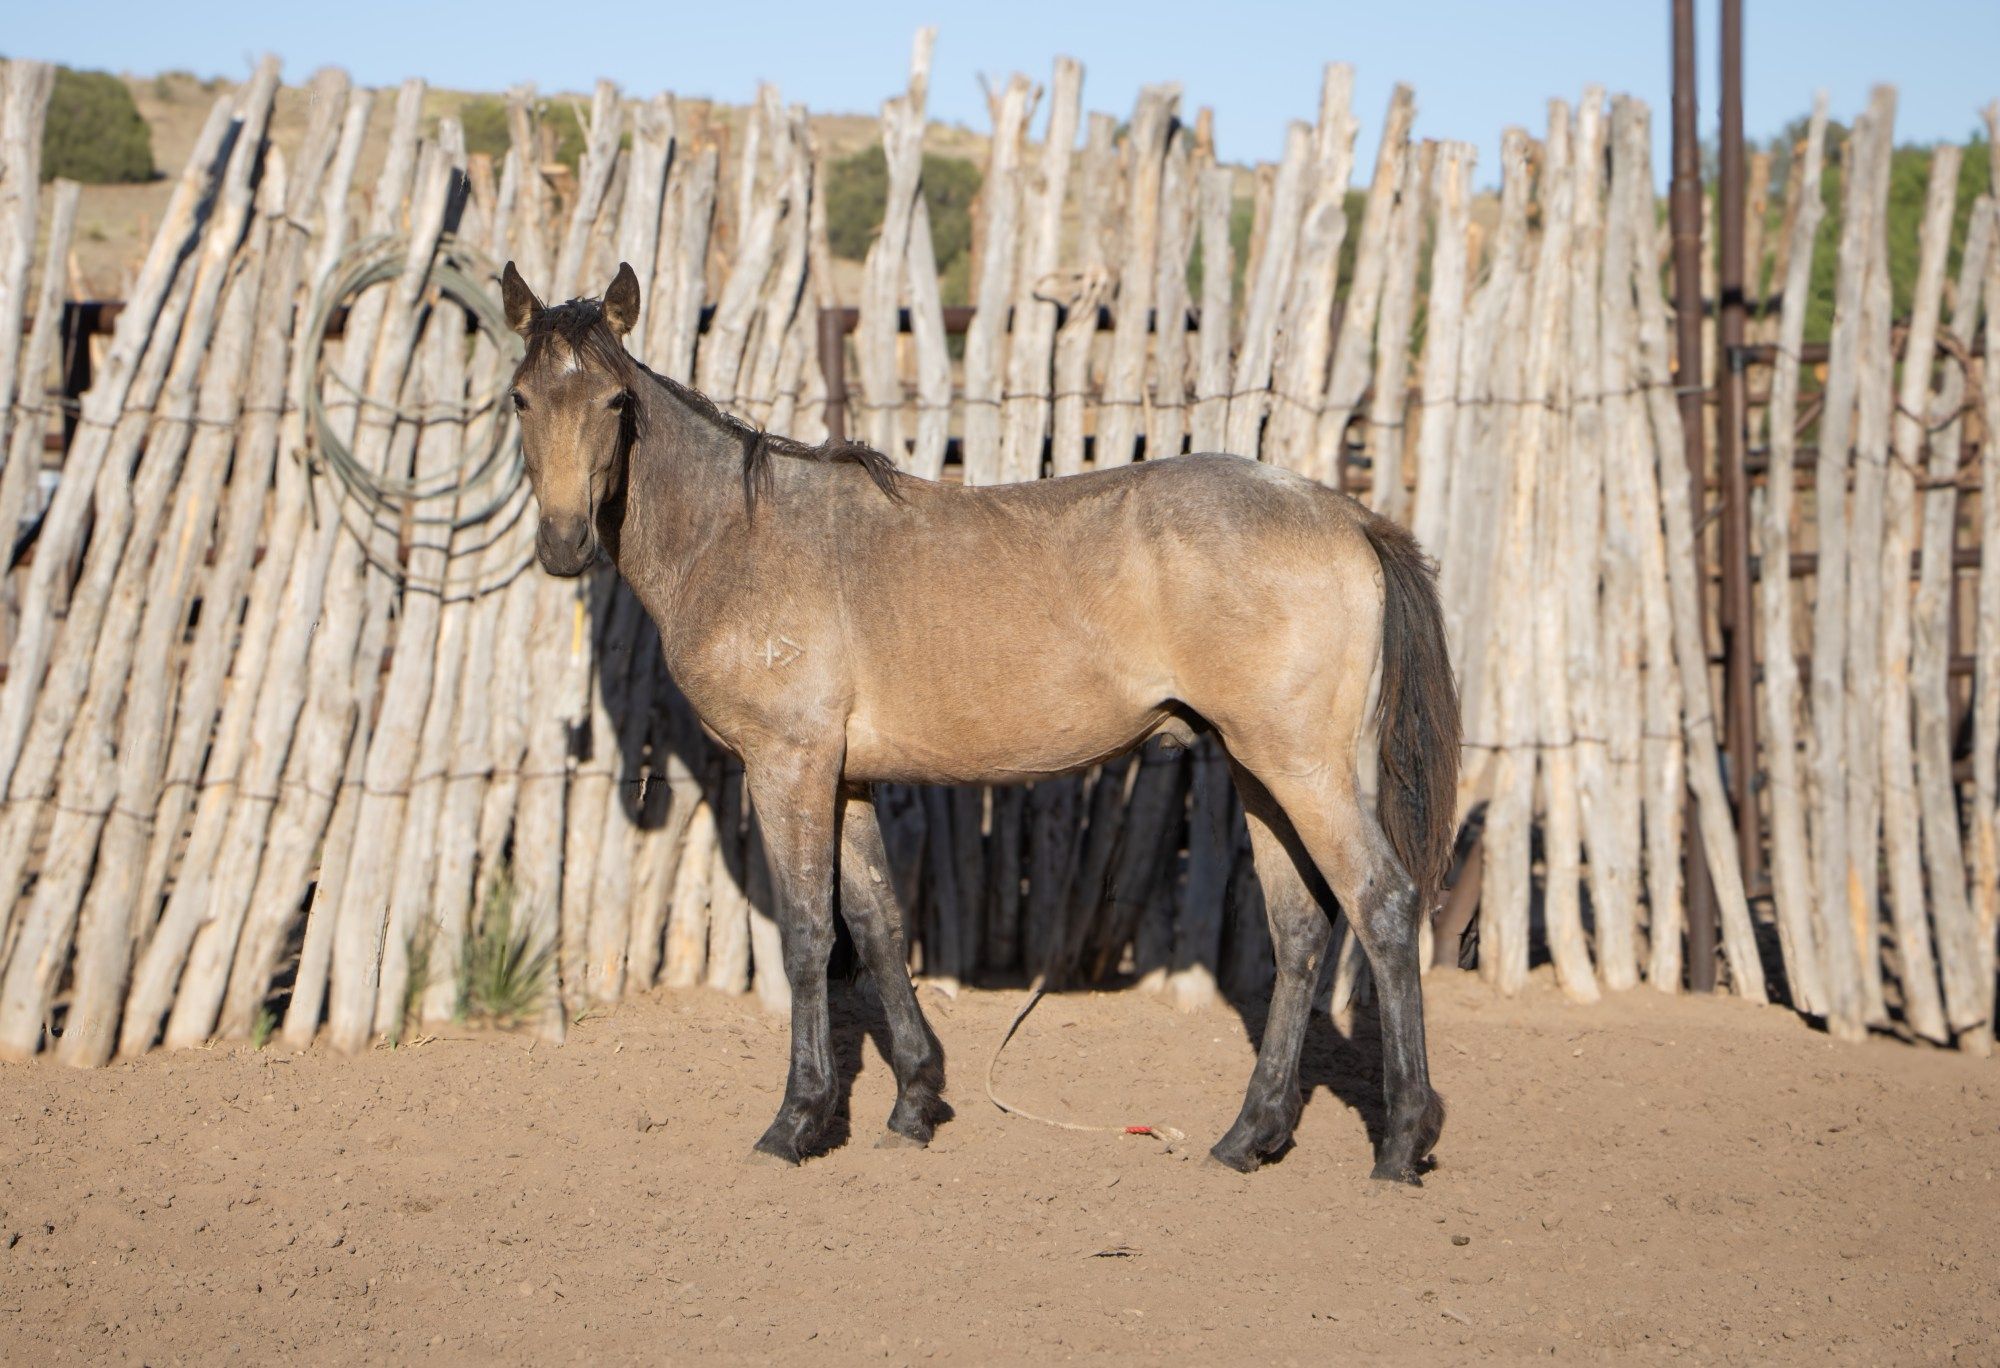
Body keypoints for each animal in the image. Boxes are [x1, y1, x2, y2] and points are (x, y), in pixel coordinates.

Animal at [500, 260, 1459, 1182]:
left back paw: (1401, 1140)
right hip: (1261, 771)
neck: (739, 536)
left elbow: (810, 934)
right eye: (519, 397)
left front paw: (798, 1121)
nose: (563, 543)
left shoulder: (788, 765)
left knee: (1381, 905)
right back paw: (1248, 1136)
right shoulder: (843, 777)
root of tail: (1346, 514)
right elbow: (880, 926)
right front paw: (914, 1104)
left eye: (616, 401)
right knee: (1299, 932)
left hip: (1302, 770)